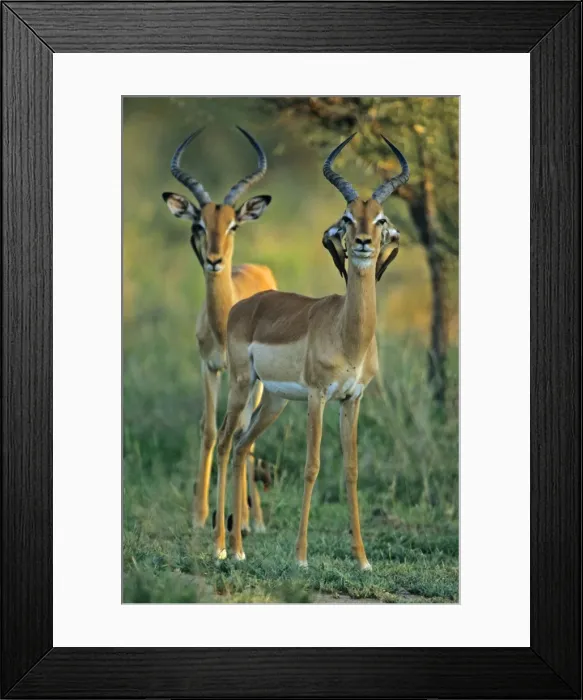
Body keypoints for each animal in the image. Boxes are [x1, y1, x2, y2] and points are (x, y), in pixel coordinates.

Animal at [162, 127, 277, 533]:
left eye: (233, 224)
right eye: (199, 225)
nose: (213, 260)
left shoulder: (242, 377)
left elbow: (238, 432)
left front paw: (239, 520)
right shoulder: (208, 367)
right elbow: (210, 429)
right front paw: (199, 516)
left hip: (259, 383)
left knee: (248, 434)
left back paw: (253, 519)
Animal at [214, 133, 407, 567]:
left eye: (380, 218)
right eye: (348, 217)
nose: (364, 243)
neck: (347, 335)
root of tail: (245, 305)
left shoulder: (352, 399)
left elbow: (350, 469)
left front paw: (363, 559)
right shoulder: (319, 397)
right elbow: (312, 465)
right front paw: (301, 556)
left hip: (273, 401)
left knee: (242, 447)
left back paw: (239, 549)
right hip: (241, 385)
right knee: (223, 443)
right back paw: (218, 547)